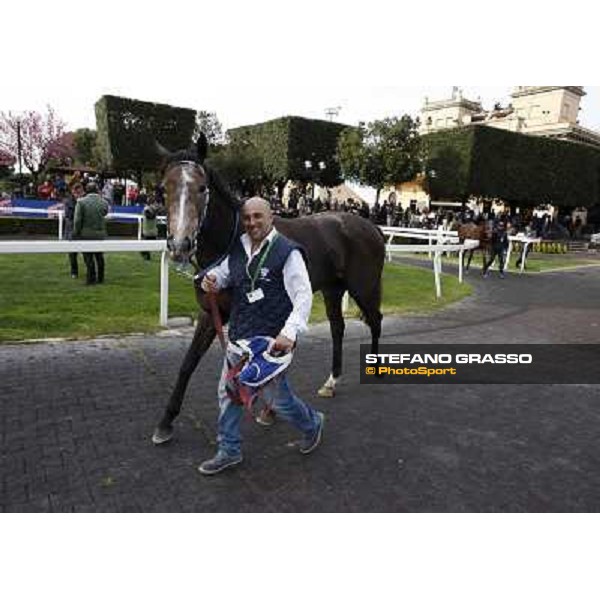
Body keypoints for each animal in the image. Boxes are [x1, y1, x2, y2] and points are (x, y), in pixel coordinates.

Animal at [150, 136, 384, 446]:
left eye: (201, 188)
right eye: (165, 187)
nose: (179, 245)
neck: (235, 240)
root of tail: (370, 226)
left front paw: (269, 408)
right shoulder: (211, 312)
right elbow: (189, 362)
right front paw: (166, 422)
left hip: (363, 287)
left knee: (376, 321)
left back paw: (377, 370)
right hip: (333, 290)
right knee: (338, 328)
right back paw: (331, 382)